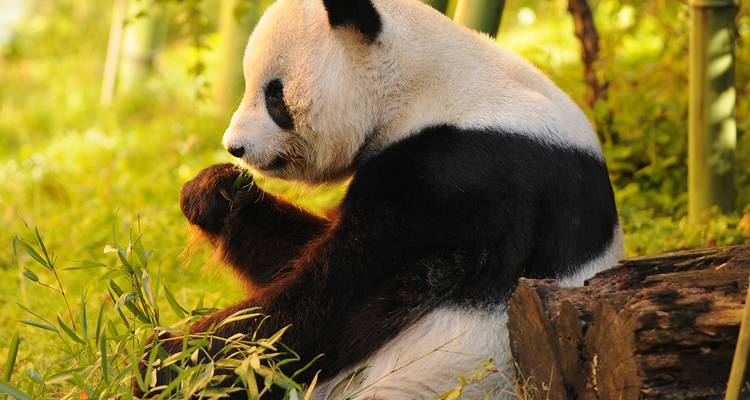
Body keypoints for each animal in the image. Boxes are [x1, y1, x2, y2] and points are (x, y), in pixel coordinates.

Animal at [174, 0, 623, 398]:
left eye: (274, 95)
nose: (235, 147)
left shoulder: (458, 175)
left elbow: (327, 307)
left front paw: (171, 359)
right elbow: (294, 258)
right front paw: (214, 194)